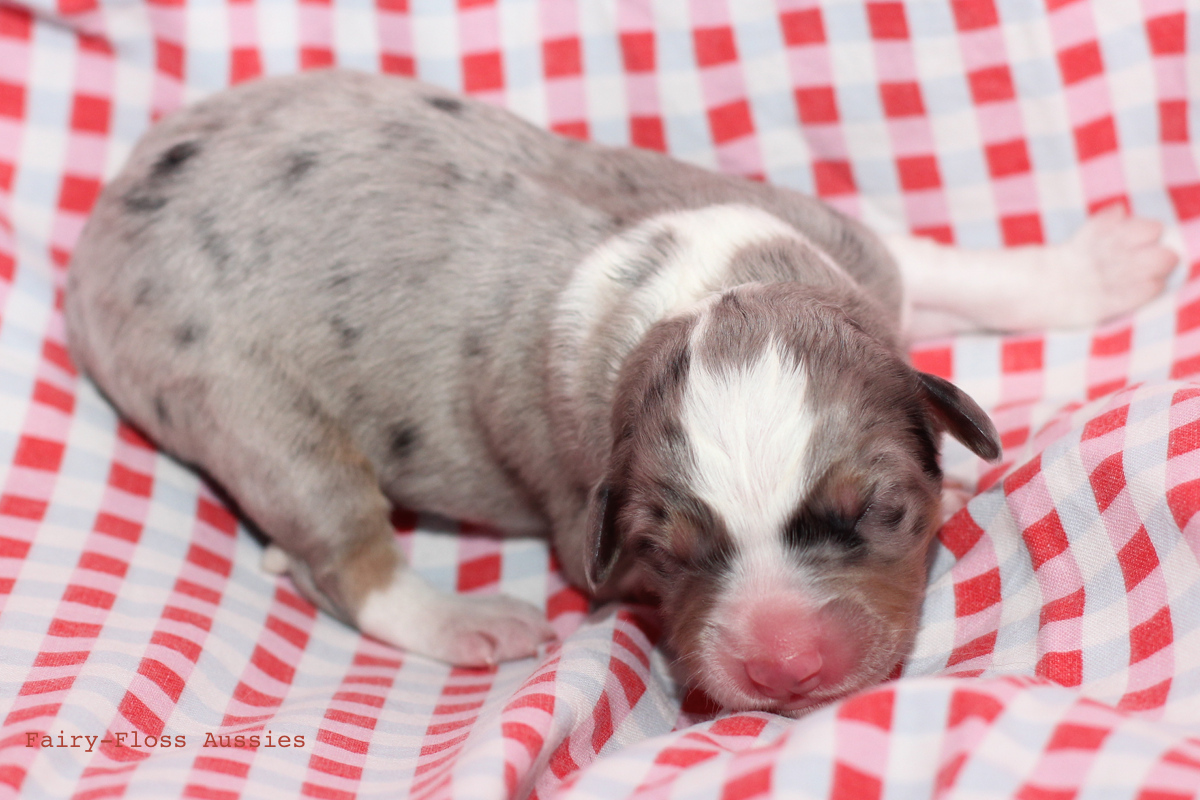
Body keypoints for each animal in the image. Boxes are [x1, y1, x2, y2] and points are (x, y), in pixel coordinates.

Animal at [60, 68, 1176, 714]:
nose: (782, 670)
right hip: (244, 401)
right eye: (665, 551)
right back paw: (465, 621)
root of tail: (103, 229)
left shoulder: (844, 252)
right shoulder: (581, 525)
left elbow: (940, 263)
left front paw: (1095, 270)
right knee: (336, 555)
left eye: (880, 512)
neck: (692, 294)